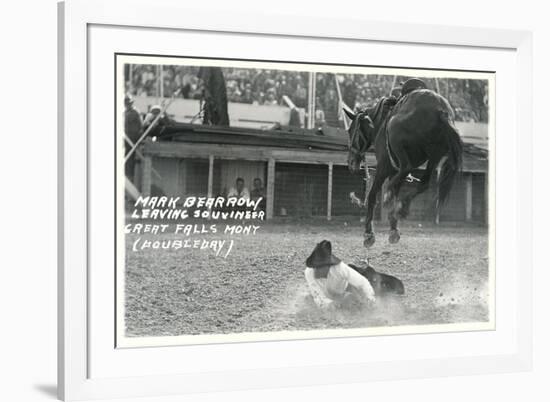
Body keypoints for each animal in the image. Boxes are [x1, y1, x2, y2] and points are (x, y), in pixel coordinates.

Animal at [348, 77, 464, 248]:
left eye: (351, 131)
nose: (350, 161)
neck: (380, 122)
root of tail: (441, 111)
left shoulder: (384, 168)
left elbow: (372, 195)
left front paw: (369, 234)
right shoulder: (394, 172)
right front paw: (393, 229)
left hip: (396, 133)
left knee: (406, 169)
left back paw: (390, 197)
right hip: (435, 156)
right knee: (423, 183)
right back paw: (402, 207)